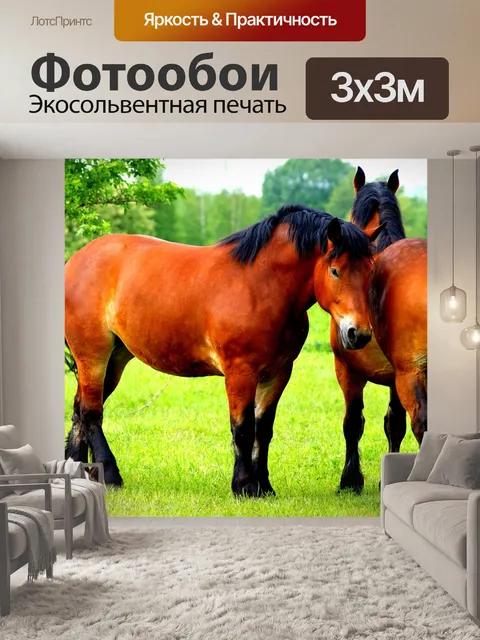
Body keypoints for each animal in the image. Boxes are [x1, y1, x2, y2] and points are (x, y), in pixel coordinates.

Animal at [65, 205, 384, 496]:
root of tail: (76, 260)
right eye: (335, 271)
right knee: (91, 413)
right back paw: (110, 475)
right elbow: (243, 428)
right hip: (93, 355)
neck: (261, 285)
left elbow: (263, 429)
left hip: (115, 359)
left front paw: (264, 486)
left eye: (371, 271)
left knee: (80, 409)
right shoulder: (240, 372)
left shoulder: (278, 373)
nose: (358, 333)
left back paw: (77, 469)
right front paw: (244, 486)